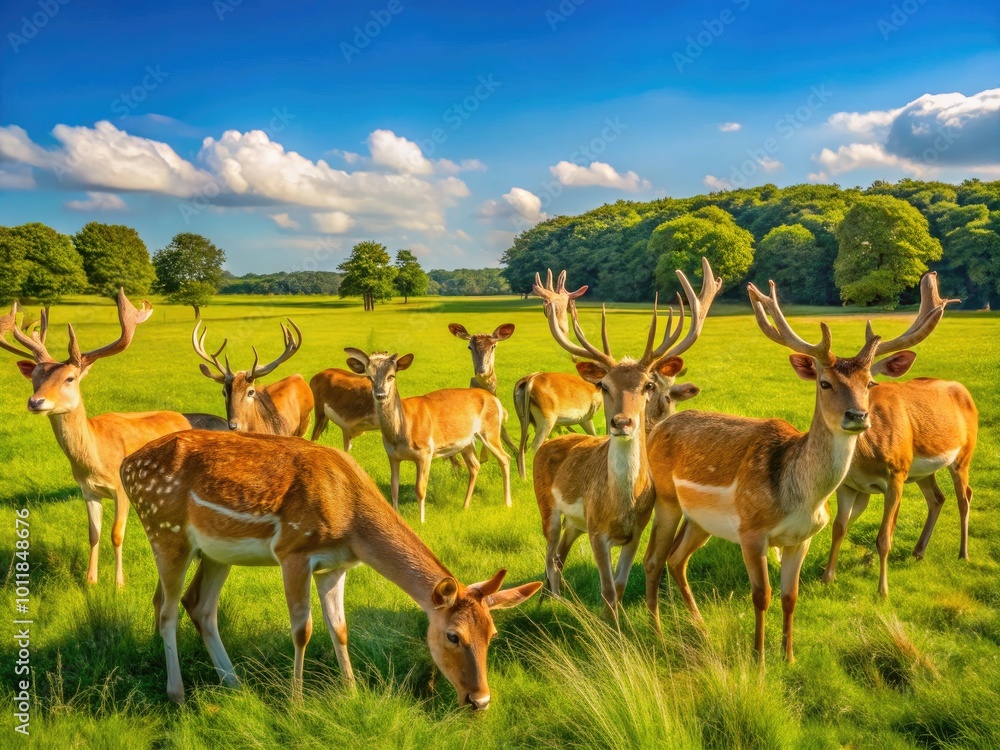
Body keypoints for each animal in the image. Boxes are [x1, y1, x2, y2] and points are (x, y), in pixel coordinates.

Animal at [0, 290, 227, 587]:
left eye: (70, 378)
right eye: (35, 377)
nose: (36, 402)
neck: (96, 457)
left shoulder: (121, 488)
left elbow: (116, 534)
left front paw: (119, 584)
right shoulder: (87, 490)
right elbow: (93, 534)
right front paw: (90, 581)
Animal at [118, 429, 541, 706]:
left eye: (492, 633)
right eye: (453, 636)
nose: (480, 699)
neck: (351, 526)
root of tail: (125, 464)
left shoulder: (335, 567)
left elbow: (339, 628)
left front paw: (351, 692)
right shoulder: (293, 550)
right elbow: (302, 630)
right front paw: (297, 702)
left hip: (216, 553)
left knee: (200, 606)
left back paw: (235, 684)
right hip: (164, 530)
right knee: (166, 609)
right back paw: (177, 693)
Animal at [345, 349, 512, 523]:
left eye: (391, 376)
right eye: (369, 377)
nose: (380, 394)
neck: (401, 432)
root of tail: (495, 399)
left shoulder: (425, 451)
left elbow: (420, 488)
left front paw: (422, 521)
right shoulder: (392, 455)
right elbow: (394, 488)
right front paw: (395, 515)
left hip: (490, 430)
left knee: (505, 457)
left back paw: (507, 503)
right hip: (466, 442)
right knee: (475, 465)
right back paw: (465, 506)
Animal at [533, 258, 720, 619]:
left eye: (648, 385)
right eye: (603, 385)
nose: (622, 422)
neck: (620, 506)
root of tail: (548, 444)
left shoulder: (634, 533)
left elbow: (618, 588)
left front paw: (618, 627)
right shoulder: (597, 531)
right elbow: (606, 589)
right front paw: (609, 629)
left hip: (575, 522)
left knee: (559, 554)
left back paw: (558, 600)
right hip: (546, 505)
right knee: (549, 554)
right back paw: (556, 602)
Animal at [642, 272, 947, 662]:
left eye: (870, 383)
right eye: (825, 382)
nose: (858, 416)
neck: (801, 498)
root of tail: (658, 429)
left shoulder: (802, 538)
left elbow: (790, 597)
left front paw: (788, 656)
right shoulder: (752, 532)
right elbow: (762, 596)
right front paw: (758, 659)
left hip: (699, 519)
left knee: (676, 559)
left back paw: (699, 625)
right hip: (665, 498)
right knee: (653, 559)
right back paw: (657, 631)